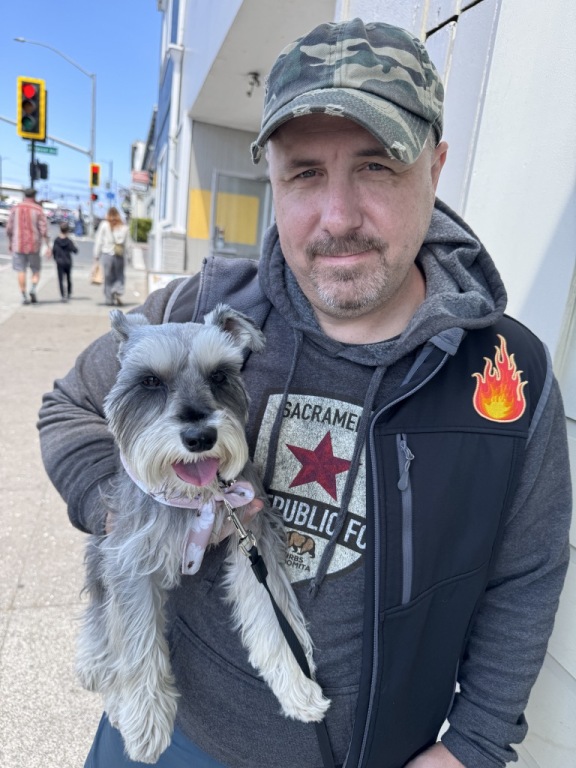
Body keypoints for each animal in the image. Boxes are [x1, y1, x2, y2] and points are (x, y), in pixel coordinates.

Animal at [76, 305, 330, 763]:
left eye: (219, 375)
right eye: (150, 381)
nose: (200, 437)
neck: (198, 497)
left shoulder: (254, 538)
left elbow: (274, 613)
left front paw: (299, 687)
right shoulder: (130, 562)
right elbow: (136, 641)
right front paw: (144, 720)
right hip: (102, 547)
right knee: (100, 610)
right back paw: (94, 662)